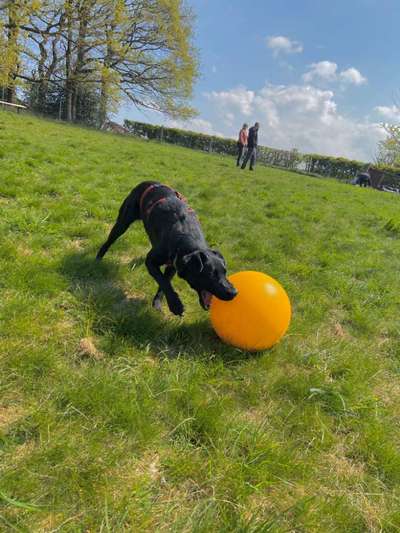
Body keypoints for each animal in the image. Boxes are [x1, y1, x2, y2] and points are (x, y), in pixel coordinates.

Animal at [95, 183, 236, 316]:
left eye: (225, 272)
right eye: (210, 274)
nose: (234, 292)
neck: (186, 237)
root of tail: (147, 182)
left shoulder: (173, 265)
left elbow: (164, 282)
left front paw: (157, 303)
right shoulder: (151, 261)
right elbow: (163, 281)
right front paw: (175, 305)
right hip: (123, 222)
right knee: (108, 241)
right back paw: (98, 259)